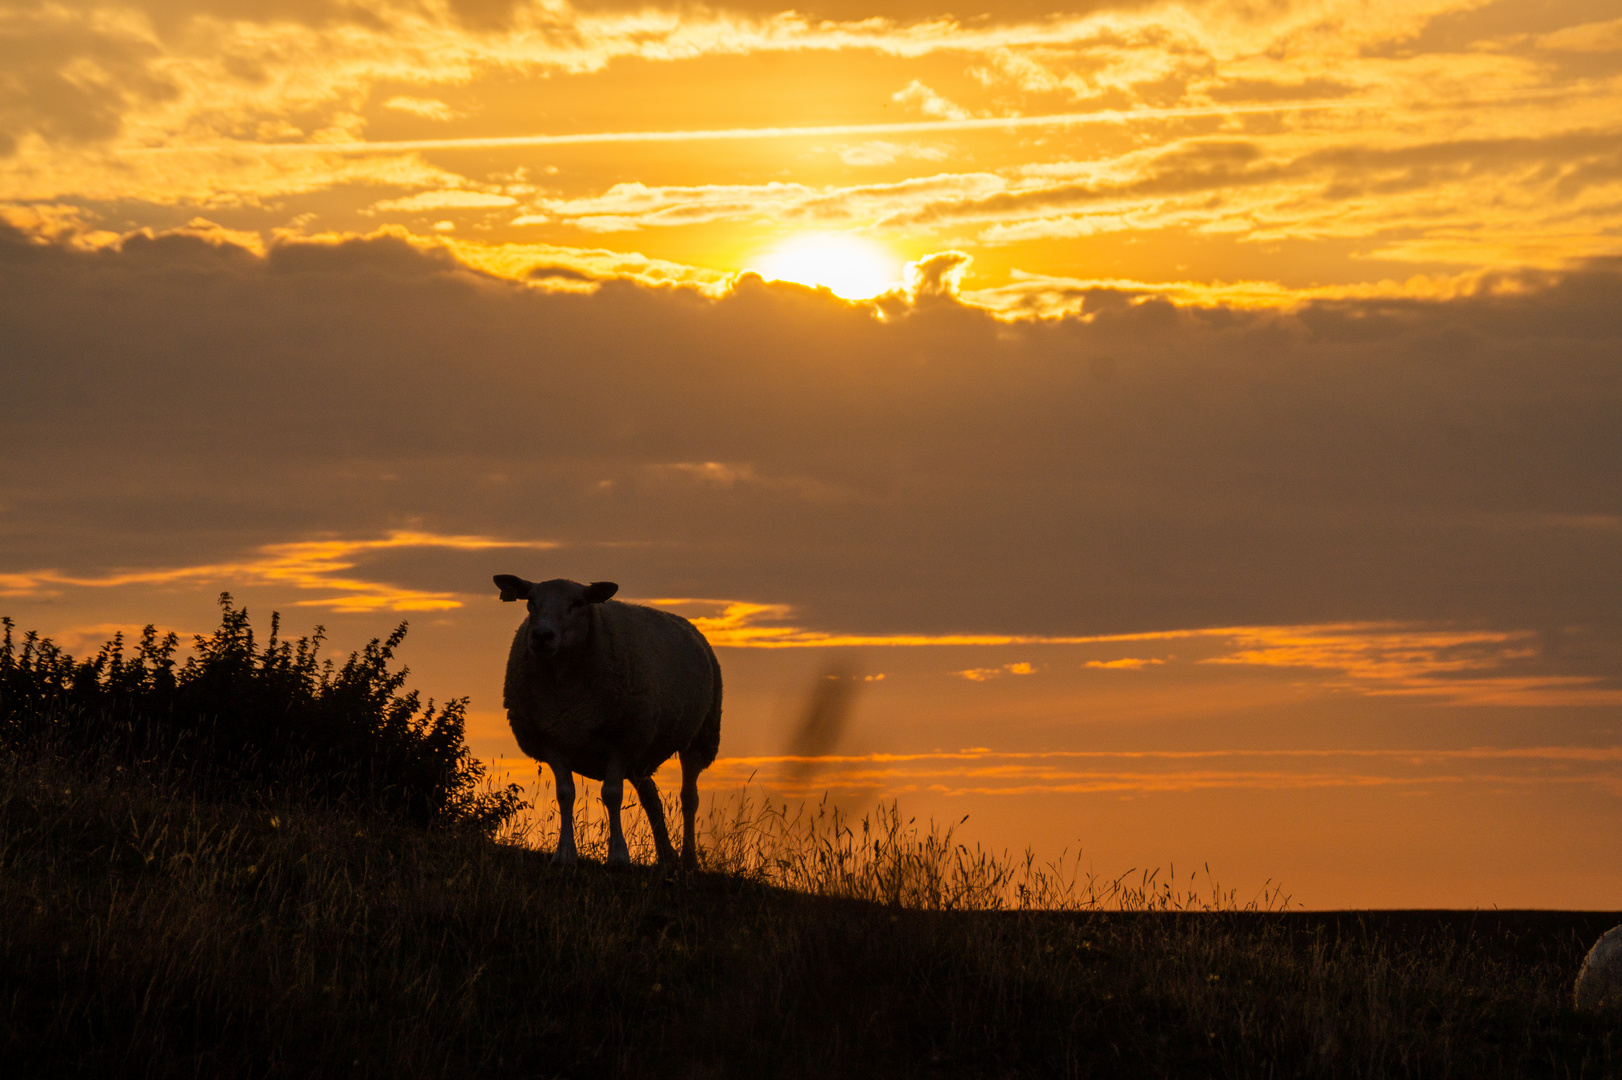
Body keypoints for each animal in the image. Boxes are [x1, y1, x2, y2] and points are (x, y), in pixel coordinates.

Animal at [493, 570, 723, 869]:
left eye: (578, 603)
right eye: (530, 601)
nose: (542, 636)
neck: (565, 688)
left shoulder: (621, 739)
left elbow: (612, 794)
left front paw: (618, 856)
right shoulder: (551, 740)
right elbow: (565, 794)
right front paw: (564, 854)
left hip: (699, 736)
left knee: (688, 798)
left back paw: (689, 859)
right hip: (641, 750)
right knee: (651, 797)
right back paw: (666, 856)